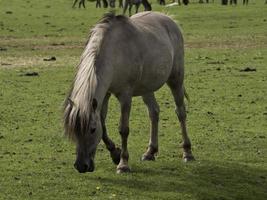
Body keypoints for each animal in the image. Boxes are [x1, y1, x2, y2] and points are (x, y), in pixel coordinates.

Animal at [64, 11, 196, 173]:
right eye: (74, 130)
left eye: (92, 130)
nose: (81, 166)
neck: (114, 52)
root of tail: (169, 19)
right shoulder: (105, 94)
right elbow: (103, 123)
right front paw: (115, 153)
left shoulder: (125, 96)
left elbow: (123, 129)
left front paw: (123, 163)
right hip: (147, 88)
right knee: (154, 112)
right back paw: (150, 152)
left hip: (175, 80)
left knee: (181, 112)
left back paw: (187, 153)